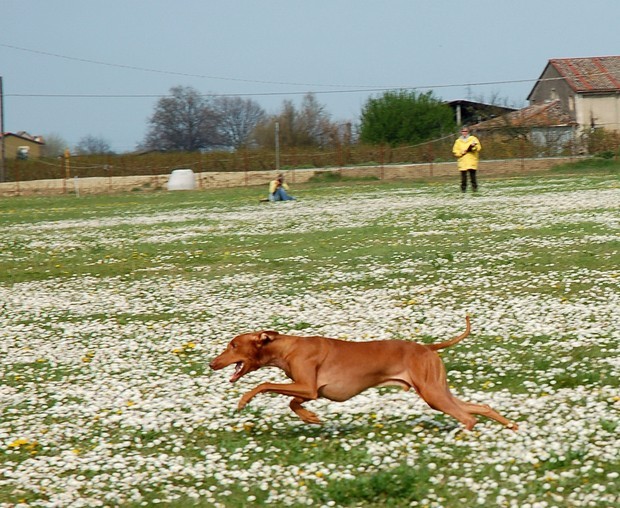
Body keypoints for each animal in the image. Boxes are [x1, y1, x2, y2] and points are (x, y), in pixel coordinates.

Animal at [209, 316, 520, 430]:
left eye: (233, 345)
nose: (211, 363)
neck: (288, 347)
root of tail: (426, 347)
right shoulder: (310, 390)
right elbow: (294, 402)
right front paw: (310, 417)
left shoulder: (307, 385)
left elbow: (263, 384)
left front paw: (243, 400)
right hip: (437, 390)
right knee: (480, 407)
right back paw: (511, 427)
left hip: (432, 393)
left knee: (468, 417)